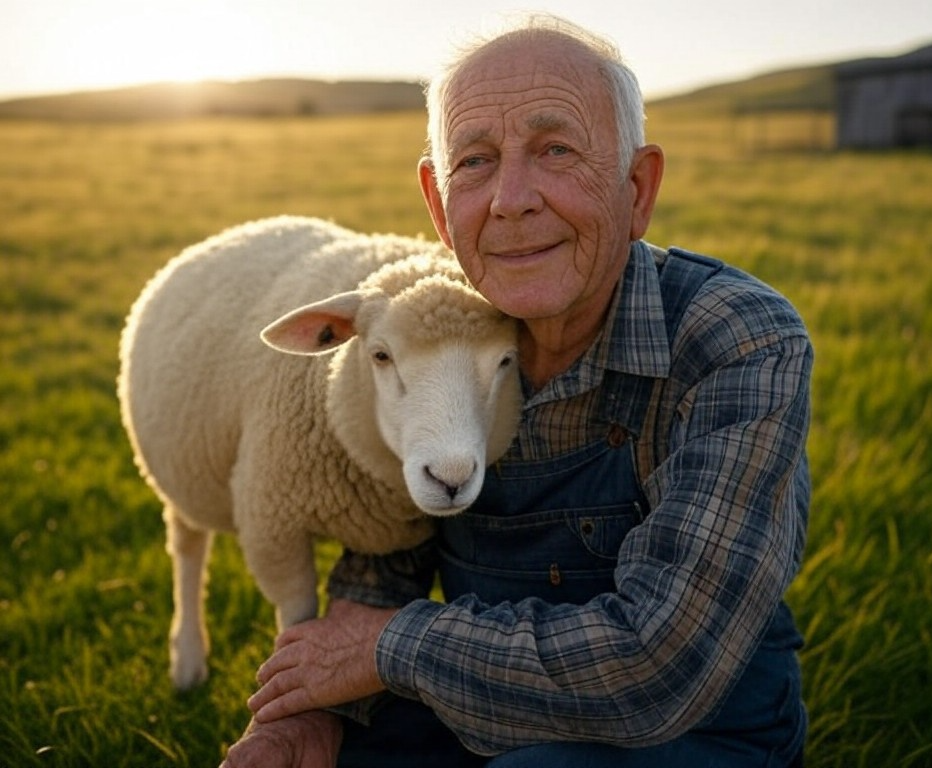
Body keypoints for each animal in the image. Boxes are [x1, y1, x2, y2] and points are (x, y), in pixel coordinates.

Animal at [118, 216, 524, 688]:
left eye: (506, 361)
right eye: (381, 355)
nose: (450, 479)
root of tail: (239, 228)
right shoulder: (274, 527)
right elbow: (296, 619)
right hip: (184, 470)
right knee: (187, 547)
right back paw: (187, 657)